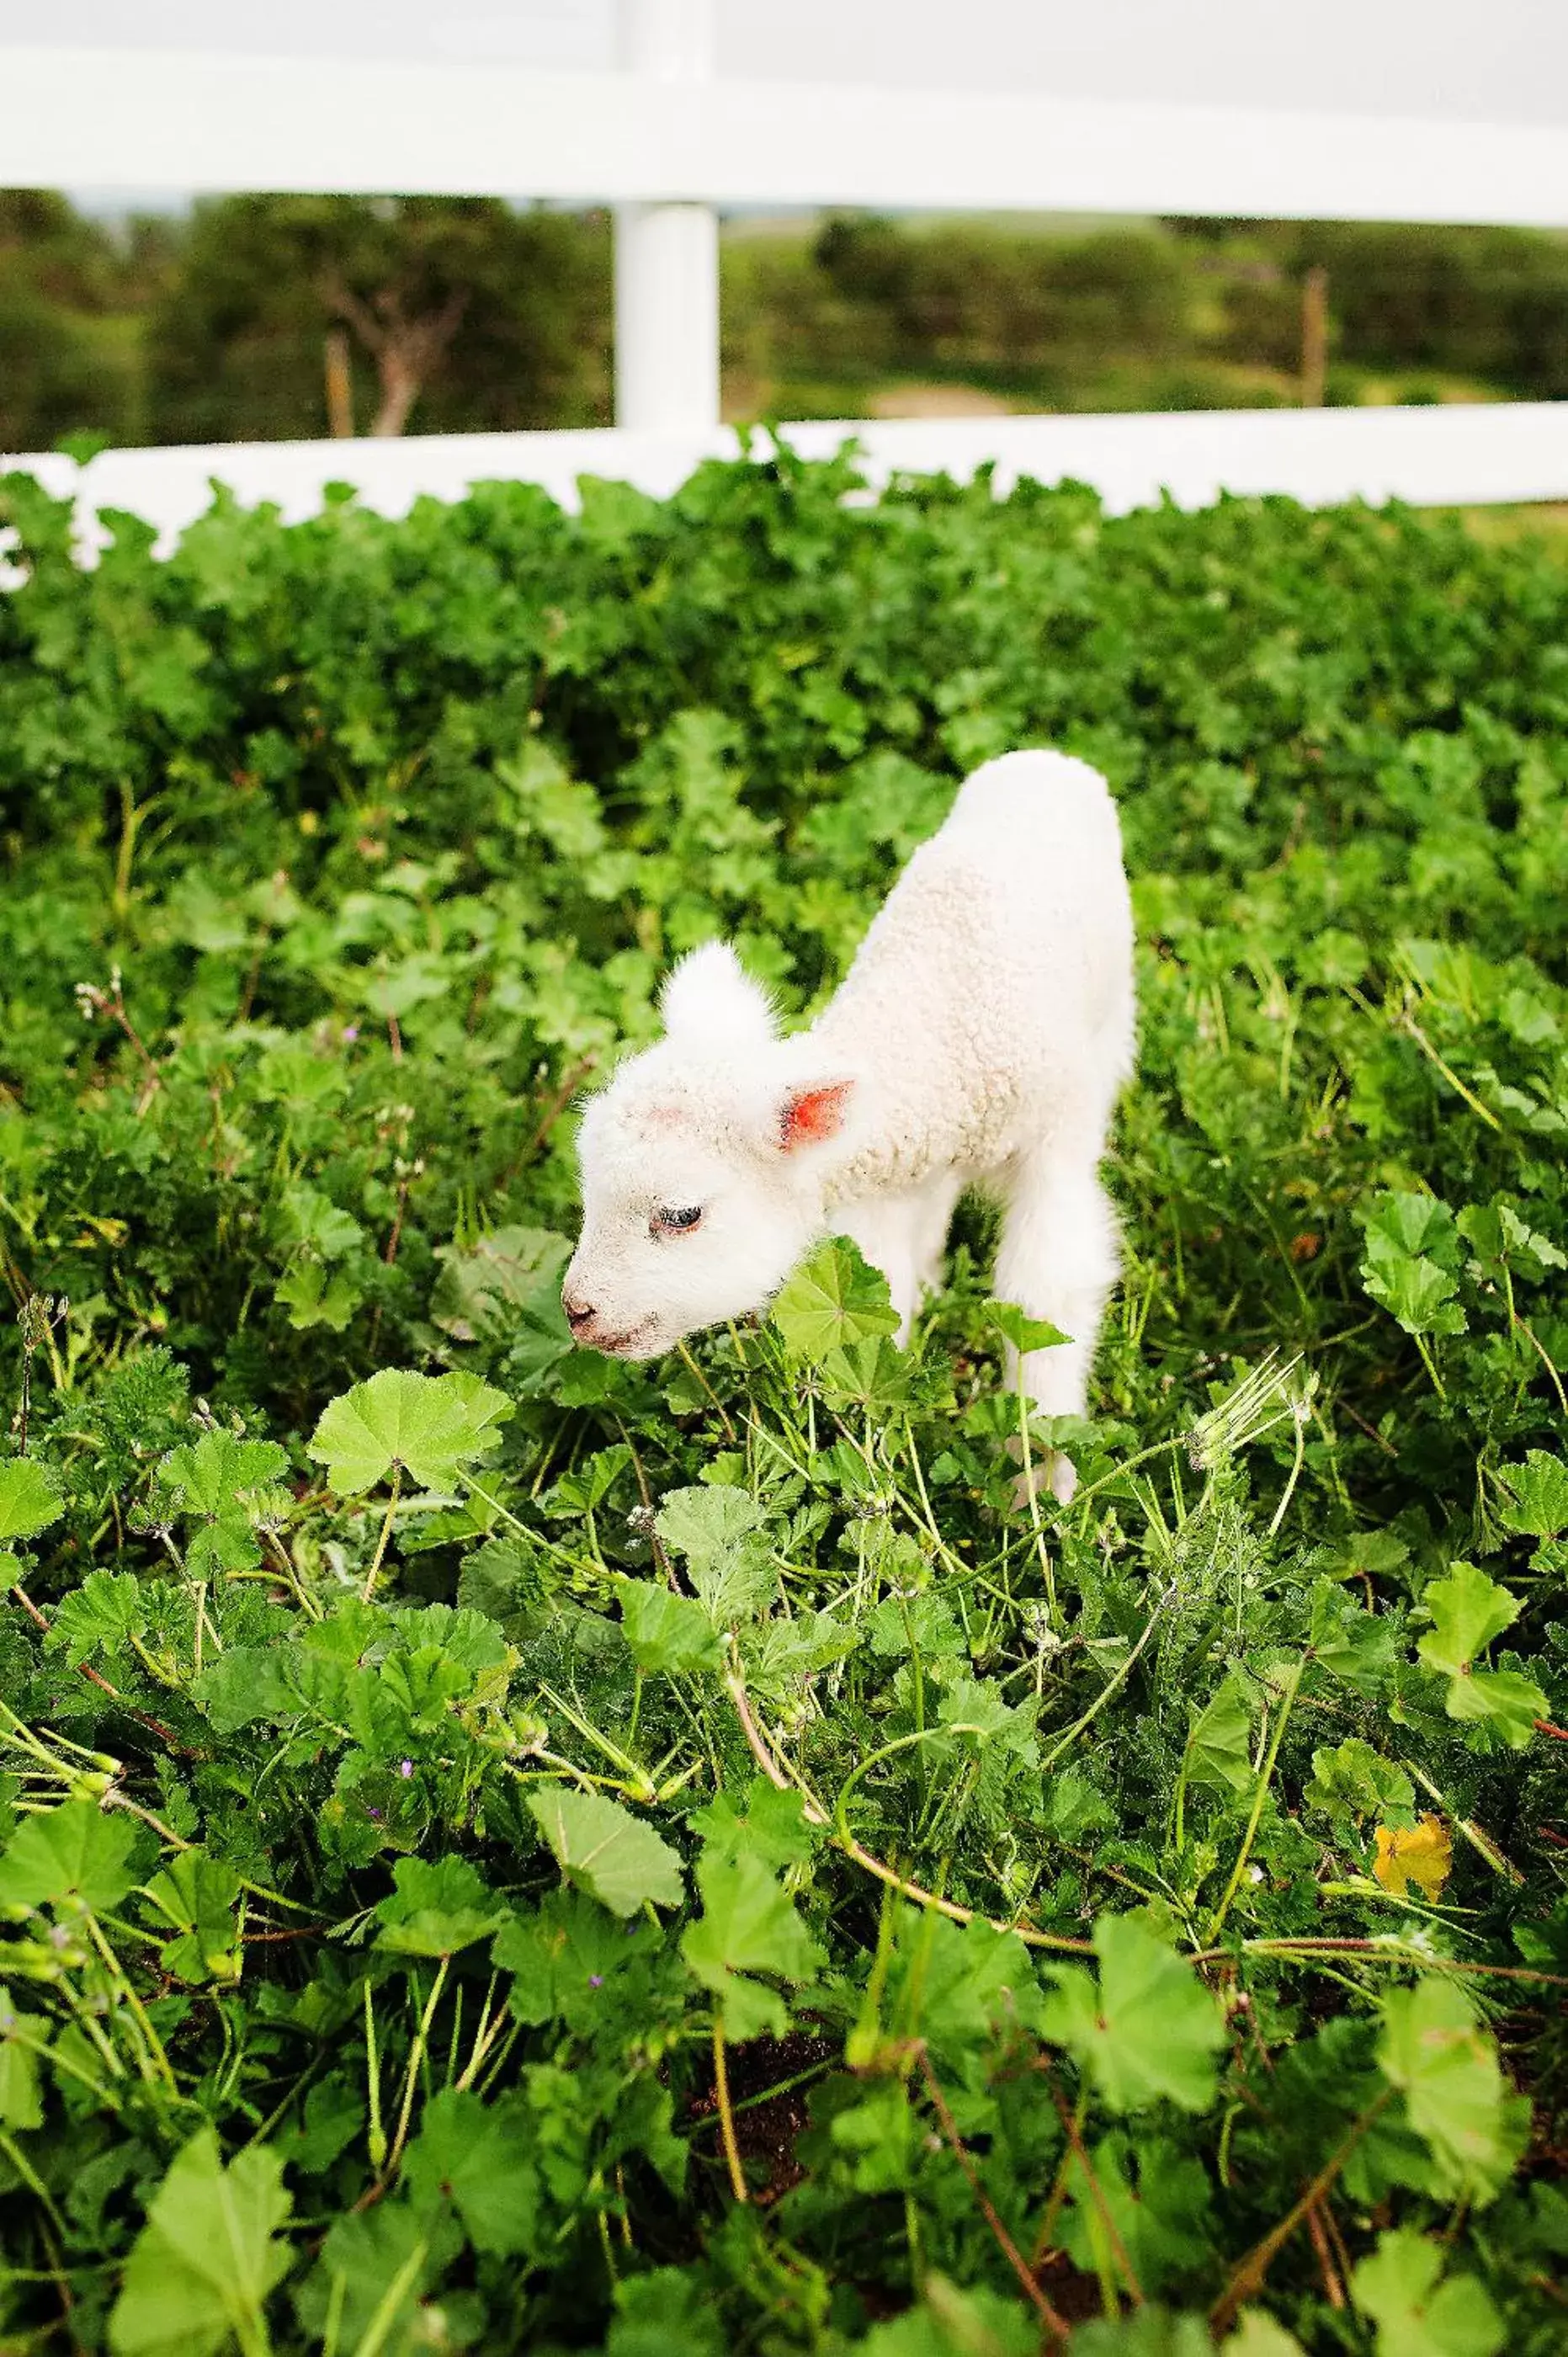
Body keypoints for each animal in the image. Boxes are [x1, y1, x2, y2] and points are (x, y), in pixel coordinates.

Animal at [563, 744, 1136, 1498]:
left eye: (682, 1215)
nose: (578, 1312)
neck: (943, 1035)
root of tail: (1046, 757)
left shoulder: (1054, 1145)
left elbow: (1042, 1300)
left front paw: (1042, 1481)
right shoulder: (892, 1181)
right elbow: (881, 1298)